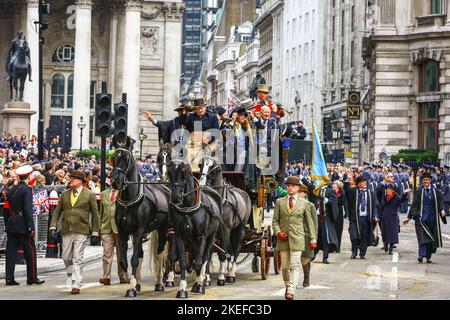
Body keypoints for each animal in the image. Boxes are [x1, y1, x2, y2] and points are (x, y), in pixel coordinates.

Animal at [110, 136, 171, 296]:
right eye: (114, 158)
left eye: (126, 158)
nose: (115, 182)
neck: (129, 200)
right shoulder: (123, 233)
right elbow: (124, 260)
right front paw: (133, 283)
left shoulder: (139, 232)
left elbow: (134, 259)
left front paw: (132, 287)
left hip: (164, 229)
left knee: (161, 252)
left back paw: (160, 282)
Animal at [166, 159, 222, 298]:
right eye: (169, 173)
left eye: (183, 173)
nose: (175, 197)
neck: (188, 207)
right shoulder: (179, 236)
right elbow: (182, 262)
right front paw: (182, 289)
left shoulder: (201, 237)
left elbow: (198, 262)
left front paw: (199, 285)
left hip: (211, 237)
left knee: (205, 257)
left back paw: (202, 280)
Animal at [199, 156, 251, 284]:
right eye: (201, 165)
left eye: (212, 168)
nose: (201, 183)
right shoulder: (212, 231)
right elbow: (209, 253)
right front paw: (206, 277)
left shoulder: (225, 229)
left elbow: (222, 253)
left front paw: (221, 277)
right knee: (230, 250)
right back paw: (228, 270)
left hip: (240, 229)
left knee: (236, 250)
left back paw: (231, 274)